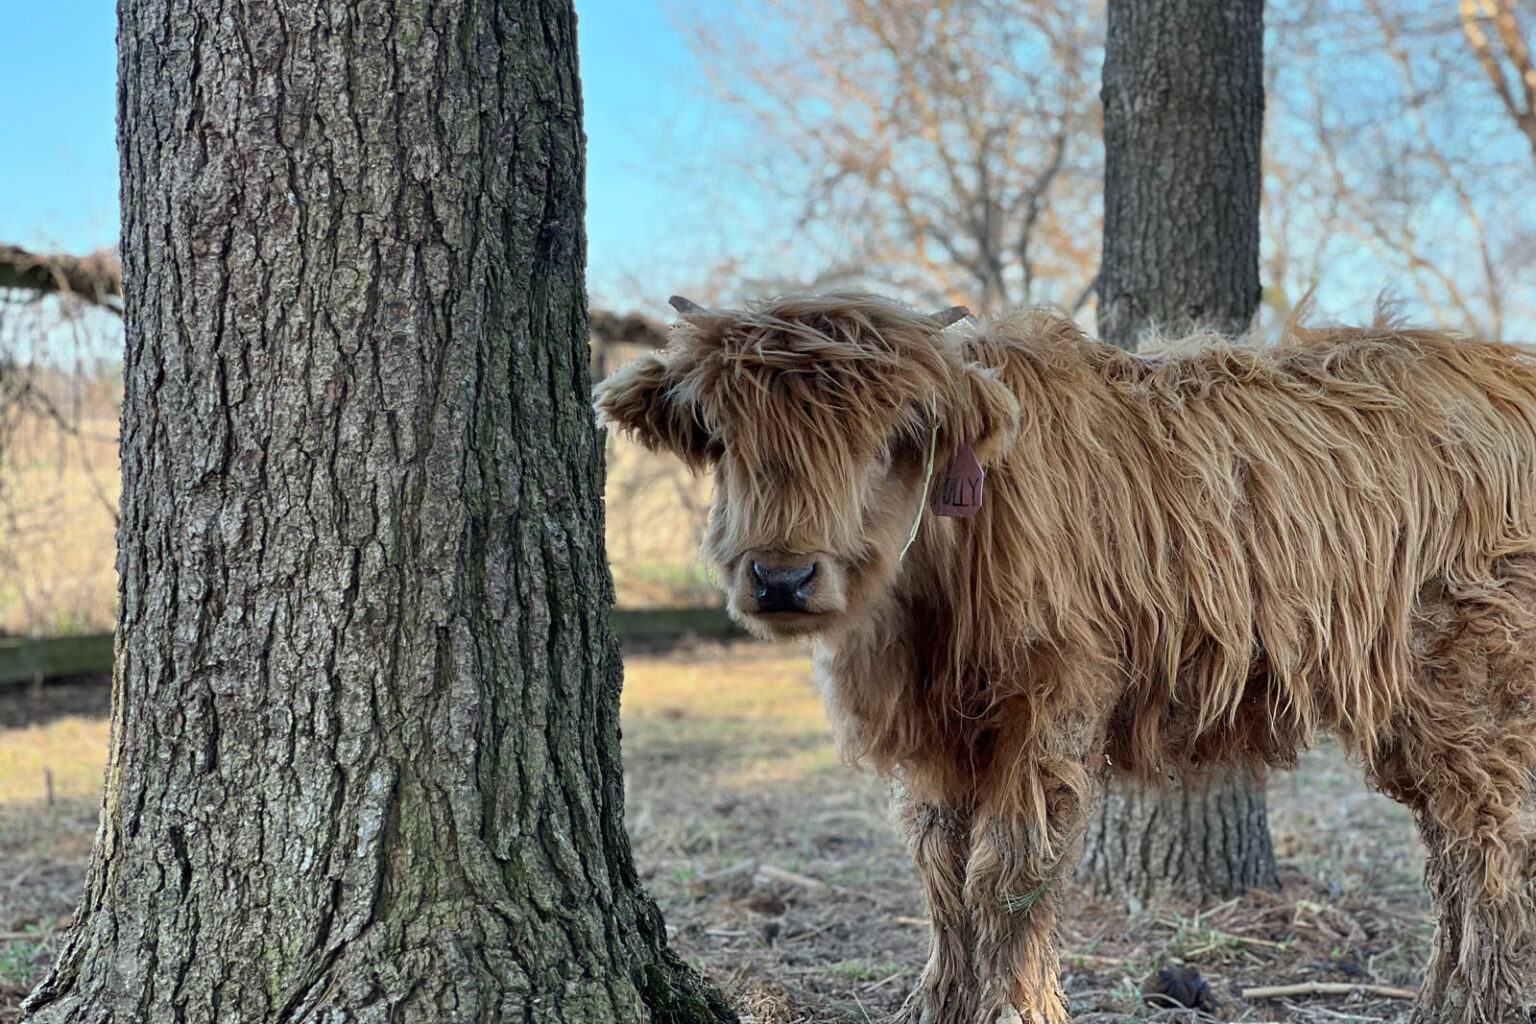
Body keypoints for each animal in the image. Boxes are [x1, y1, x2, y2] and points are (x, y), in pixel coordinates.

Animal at [595, 291, 1536, 1019]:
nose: (782, 577)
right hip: (1410, 711)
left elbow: (1008, 869)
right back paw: (1439, 1004)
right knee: (1448, 853)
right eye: (720, 437)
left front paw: (1013, 1007)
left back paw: (1485, 1002)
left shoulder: (1048, 705)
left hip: (1477, 684)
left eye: (887, 440)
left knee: (1492, 845)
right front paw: (941, 1003)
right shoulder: (938, 738)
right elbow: (941, 870)